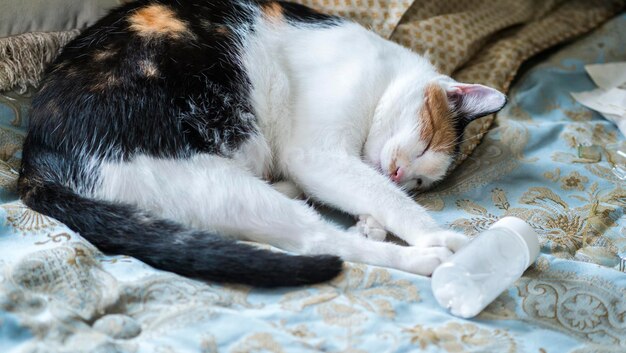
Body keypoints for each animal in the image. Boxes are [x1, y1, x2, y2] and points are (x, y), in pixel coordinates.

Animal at [19, 0, 508, 286]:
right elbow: (385, 199)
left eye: (422, 183)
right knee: (317, 242)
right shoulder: (319, 154)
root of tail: (35, 158)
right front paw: (437, 233)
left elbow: (376, 193)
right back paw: (432, 257)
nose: (402, 173)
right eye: (426, 141)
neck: (384, 72)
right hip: (209, 179)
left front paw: (372, 217)